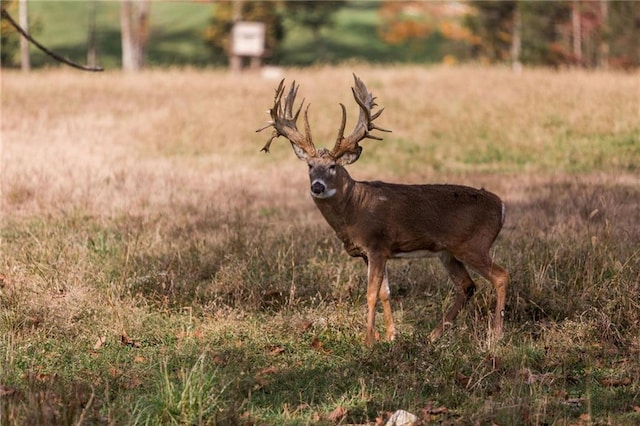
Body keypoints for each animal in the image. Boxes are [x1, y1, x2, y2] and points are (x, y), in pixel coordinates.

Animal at [258, 74, 508, 346]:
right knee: (466, 285)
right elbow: (385, 292)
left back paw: (497, 333)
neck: (354, 209)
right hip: (447, 251)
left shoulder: (376, 244)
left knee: (500, 276)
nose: (317, 186)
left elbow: (370, 294)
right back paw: (433, 334)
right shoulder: (375, 252)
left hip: (473, 243)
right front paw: (391, 335)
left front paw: (368, 340)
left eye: (333, 166)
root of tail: (502, 206)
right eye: (310, 166)